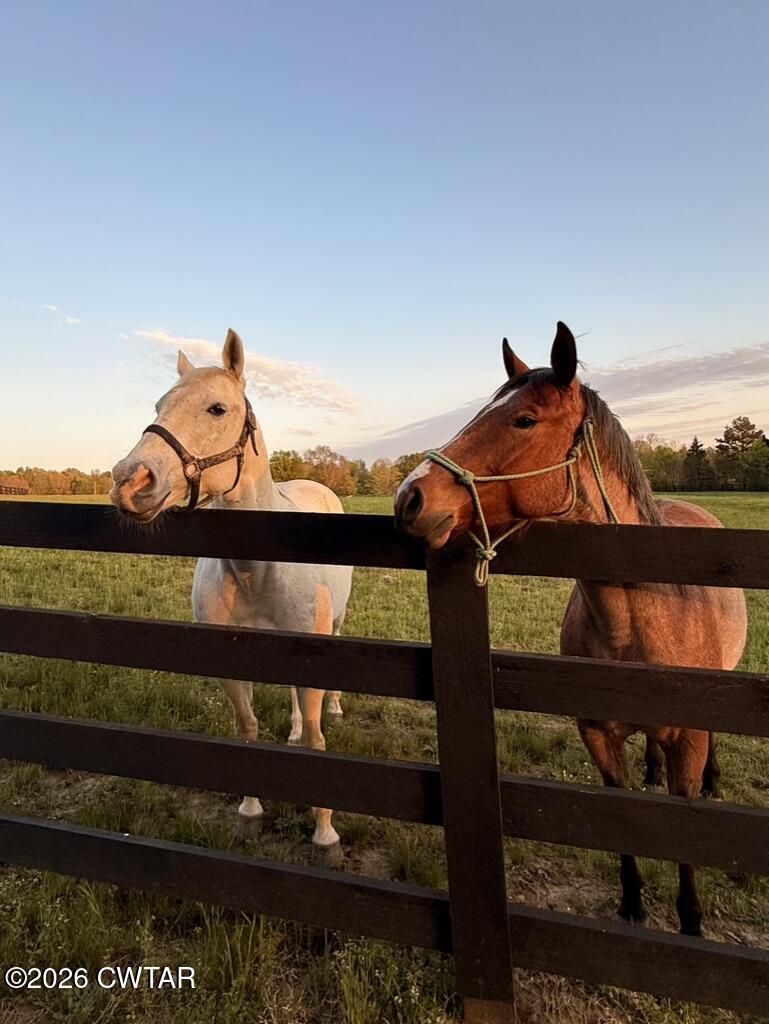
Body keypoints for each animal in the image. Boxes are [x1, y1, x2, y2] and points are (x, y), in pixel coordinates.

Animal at [110, 328, 352, 867]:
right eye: (159, 404)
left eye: (217, 409)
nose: (129, 479)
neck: (257, 572)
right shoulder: (231, 664)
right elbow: (247, 730)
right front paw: (250, 810)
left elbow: (319, 743)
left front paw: (325, 833)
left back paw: (334, 707)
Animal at [394, 321, 747, 935]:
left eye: (524, 420)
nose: (409, 497)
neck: (634, 621)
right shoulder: (598, 735)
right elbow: (618, 816)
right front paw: (631, 905)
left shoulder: (688, 737)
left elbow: (684, 835)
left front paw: (691, 921)